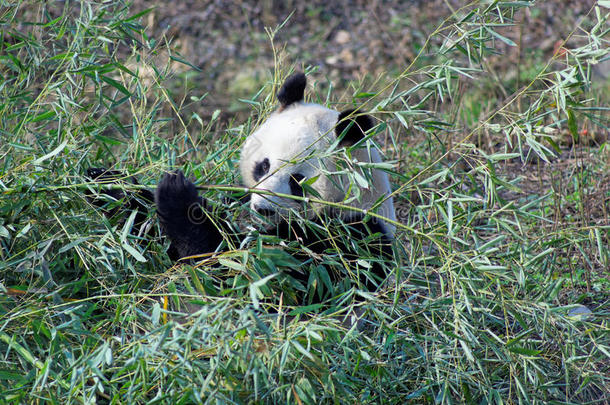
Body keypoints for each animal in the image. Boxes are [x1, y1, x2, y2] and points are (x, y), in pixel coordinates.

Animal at [152, 72, 396, 302]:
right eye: (264, 165)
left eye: (297, 181)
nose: (263, 209)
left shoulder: (350, 242)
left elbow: (252, 275)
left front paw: (177, 196)